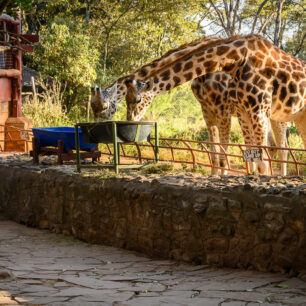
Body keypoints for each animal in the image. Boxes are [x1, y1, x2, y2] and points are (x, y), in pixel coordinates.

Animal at [123, 33, 304, 175]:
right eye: (125, 99)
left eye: (138, 100)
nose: (130, 122)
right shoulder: (207, 112)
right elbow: (213, 153)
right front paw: (214, 176)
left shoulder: (223, 111)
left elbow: (224, 153)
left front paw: (223, 176)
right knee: (274, 146)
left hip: (277, 115)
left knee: (282, 146)